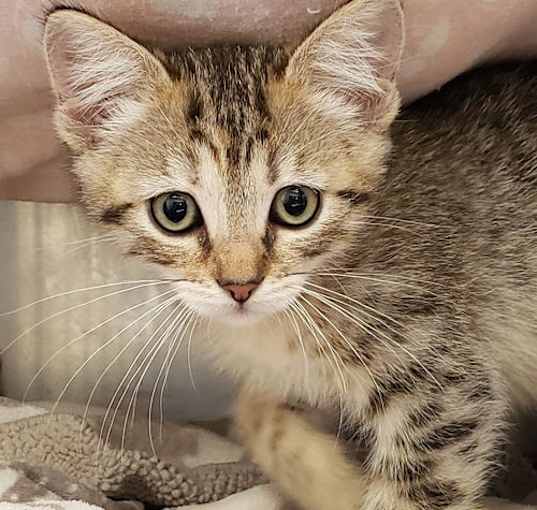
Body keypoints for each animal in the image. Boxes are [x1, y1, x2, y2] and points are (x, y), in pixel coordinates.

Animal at [43, 0, 537, 508]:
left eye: (295, 204)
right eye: (174, 210)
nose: (240, 286)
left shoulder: (443, 381)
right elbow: (253, 408)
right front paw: (335, 482)